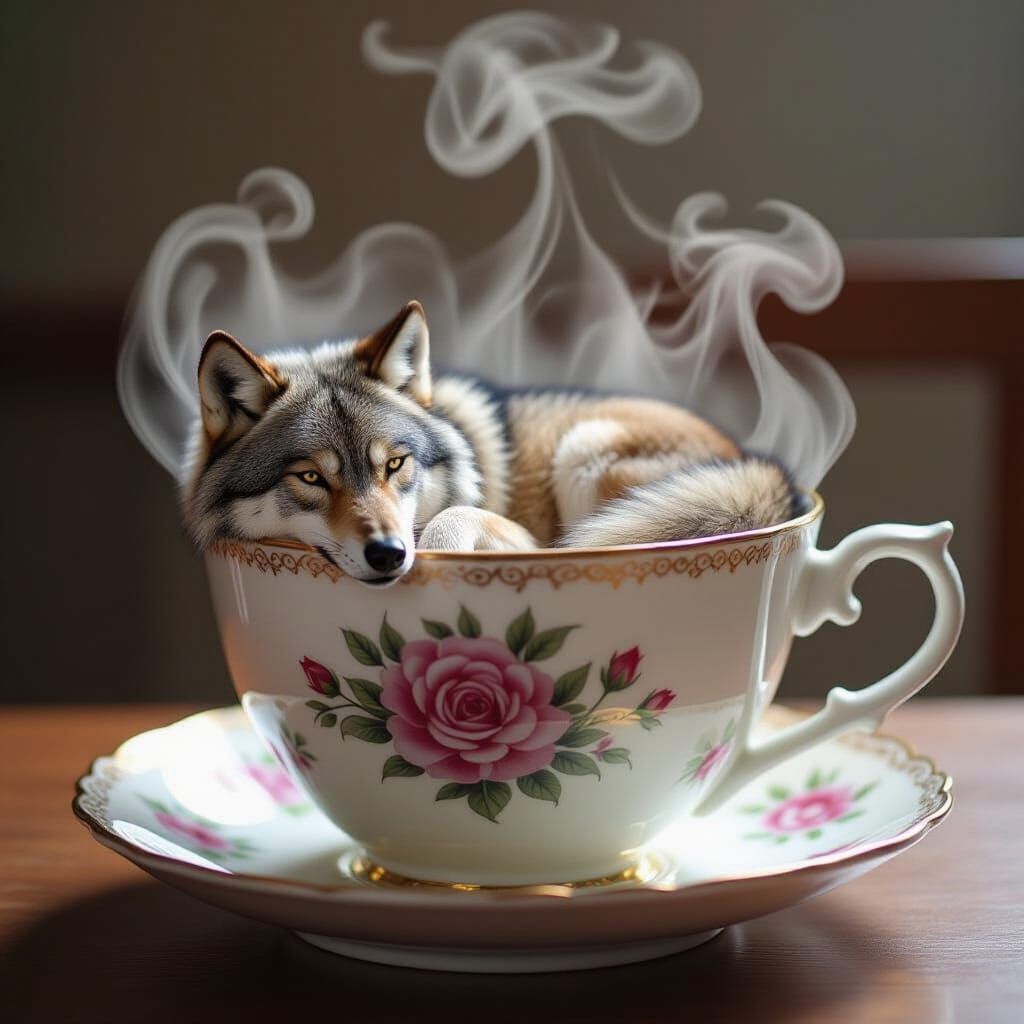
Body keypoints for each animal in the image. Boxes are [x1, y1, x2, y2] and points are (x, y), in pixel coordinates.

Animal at [183, 300, 798, 585]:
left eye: (395, 464)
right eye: (311, 477)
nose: (389, 554)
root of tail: (761, 469)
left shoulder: (527, 539)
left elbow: (455, 518)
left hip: (586, 447)